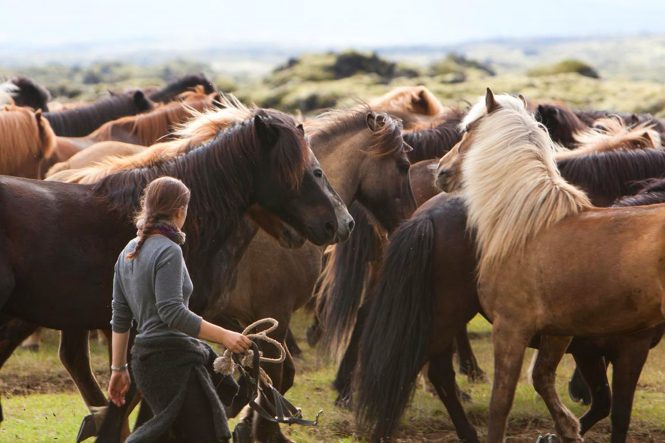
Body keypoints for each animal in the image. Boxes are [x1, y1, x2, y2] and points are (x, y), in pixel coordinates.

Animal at [434, 89, 665, 442]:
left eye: (467, 130)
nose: (440, 171)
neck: (528, 226)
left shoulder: (511, 328)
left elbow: (500, 404)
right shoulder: (560, 332)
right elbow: (544, 378)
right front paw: (567, 429)